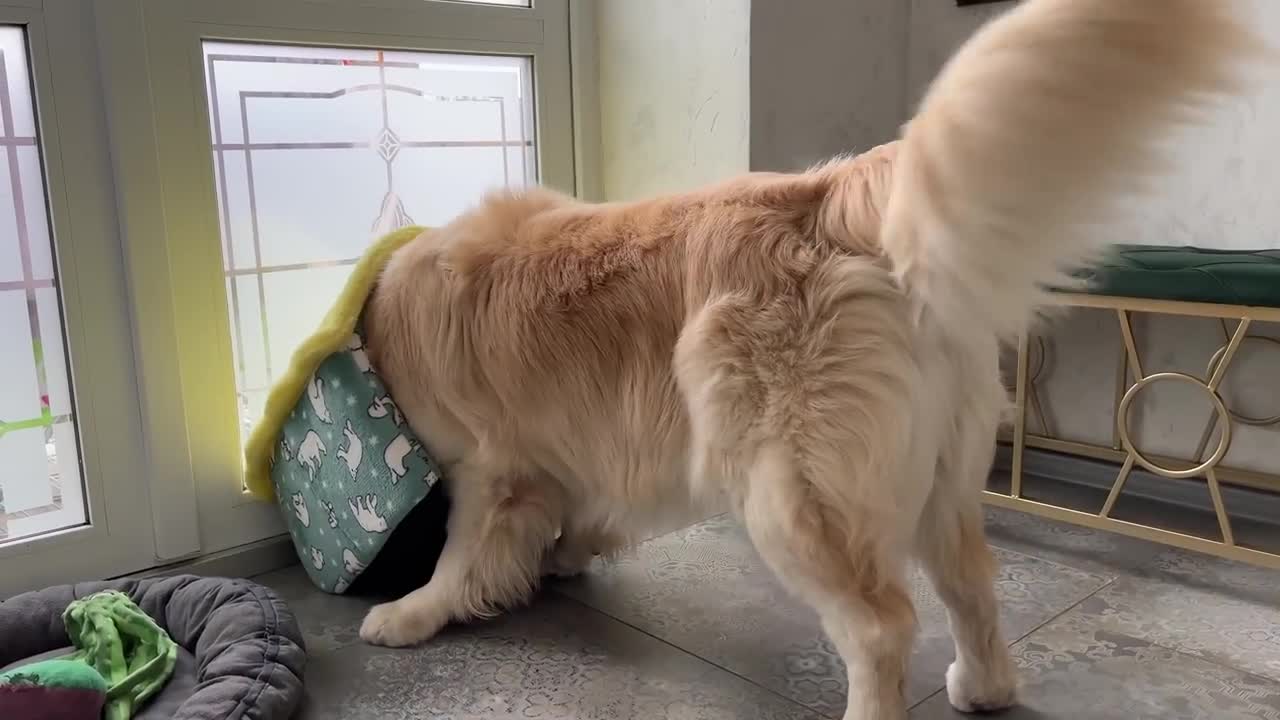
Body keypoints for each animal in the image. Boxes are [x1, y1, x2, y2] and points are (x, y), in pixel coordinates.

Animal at [358, 2, 1259, 712]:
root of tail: (828, 193)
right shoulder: (574, 452)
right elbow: (579, 510)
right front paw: (562, 558)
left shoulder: (488, 469)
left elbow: (461, 553)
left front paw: (411, 613)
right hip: (940, 469)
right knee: (971, 581)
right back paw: (985, 687)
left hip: (786, 488)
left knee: (882, 626)